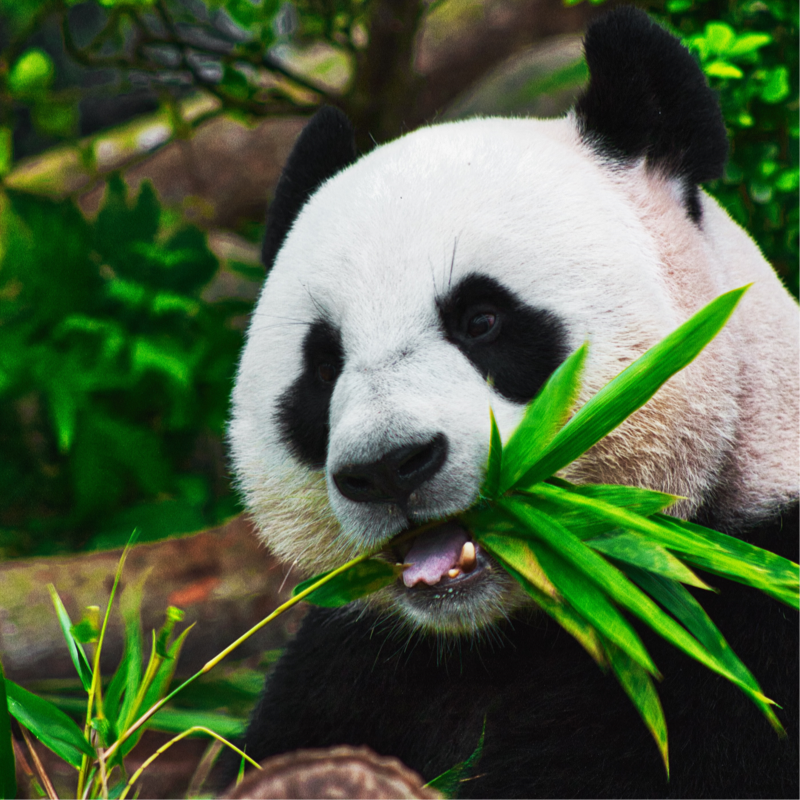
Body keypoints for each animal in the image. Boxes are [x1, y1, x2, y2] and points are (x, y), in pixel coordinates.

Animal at [223, 7, 800, 800]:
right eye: (324, 363)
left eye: (482, 320)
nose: (390, 466)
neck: (498, 629)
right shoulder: (359, 658)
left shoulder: (739, 620)